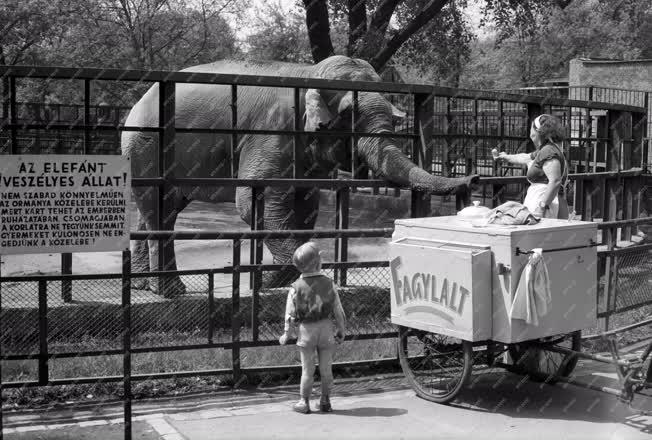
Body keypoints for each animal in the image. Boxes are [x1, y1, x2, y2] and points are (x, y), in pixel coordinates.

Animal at [123, 54, 478, 296]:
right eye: (349, 115)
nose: (473, 180)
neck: (310, 73)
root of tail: (138, 102)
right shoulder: (271, 131)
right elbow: (255, 202)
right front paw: (265, 281)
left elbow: (306, 205)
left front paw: (275, 279)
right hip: (145, 145)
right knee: (159, 207)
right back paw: (169, 291)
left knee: (163, 208)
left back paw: (145, 286)